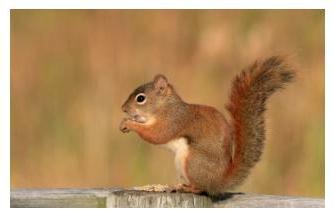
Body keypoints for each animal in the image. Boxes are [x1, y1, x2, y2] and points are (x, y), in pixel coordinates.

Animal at [119, 56, 294, 195]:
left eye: (140, 98)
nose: (123, 109)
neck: (165, 107)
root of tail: (218, 183)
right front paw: (124, 123)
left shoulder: (174, 121)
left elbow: (157, 135)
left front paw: (129, 123)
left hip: (192, 161)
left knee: (202, 188)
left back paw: (186, 188)